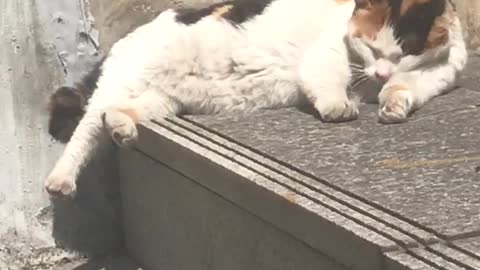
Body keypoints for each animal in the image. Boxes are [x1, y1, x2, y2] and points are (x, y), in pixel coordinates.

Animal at [44, 0, 464, 196]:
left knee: (115, 114)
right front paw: (339, 106)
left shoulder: (436, 74)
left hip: (161, 99)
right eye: (371, 47)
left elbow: (406, 87)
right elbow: (327, 81)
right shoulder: (326, 55)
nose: (379, 74)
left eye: (402, 52)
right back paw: (61, 180)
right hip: (123, 81)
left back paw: (123, 131)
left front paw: (393, 104)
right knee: (86, 128)